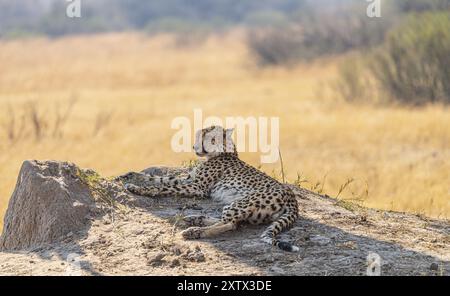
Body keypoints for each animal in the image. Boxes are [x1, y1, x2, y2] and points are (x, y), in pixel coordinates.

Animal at [124, 125, 298, 252]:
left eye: (207, 138)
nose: (193, 147)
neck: (224, 152)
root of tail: (292, 197)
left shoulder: (197, 187)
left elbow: (165, 187)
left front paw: (138, 189)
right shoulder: (190, 179)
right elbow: (161, 179)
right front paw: (129, 176)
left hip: (241, 203)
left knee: (230, 224)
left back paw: (194, 230)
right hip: (246, 210)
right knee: (231, 222)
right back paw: (194, 218)